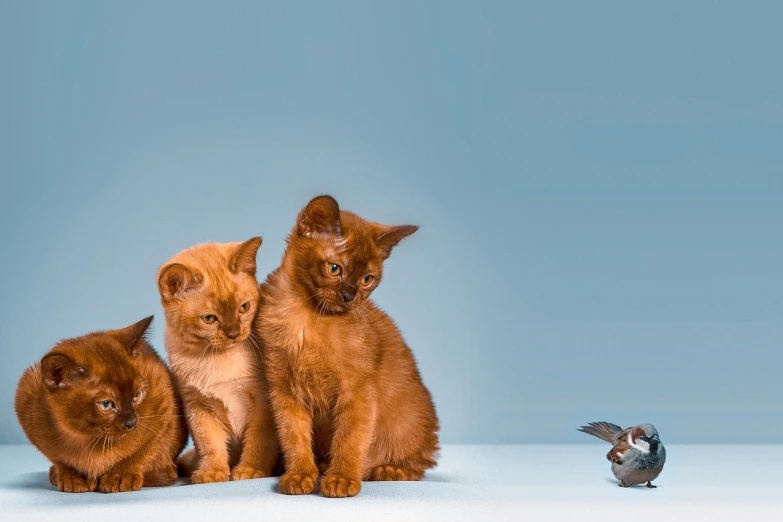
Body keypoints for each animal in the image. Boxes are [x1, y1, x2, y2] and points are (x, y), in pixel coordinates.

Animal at [14, 314, 188, 490]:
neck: (87, 440)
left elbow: (140, 453)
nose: (131, 423)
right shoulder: (26, 404)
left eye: (136, 396)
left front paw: (120, 476)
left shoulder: (163, 410)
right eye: (106, 404)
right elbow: (59, 460)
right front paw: (72, 478)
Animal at [158, 238, 280, 482]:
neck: (217, 360)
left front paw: (250, 470)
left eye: (244, 307)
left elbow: (258, 439)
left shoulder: (262, 402)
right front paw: (212, 472)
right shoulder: (197, 406)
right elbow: (210, 444)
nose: (234, 334)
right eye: (209, 318)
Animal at [258, 194, 438, 496]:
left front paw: (341, 479)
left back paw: (385, 470)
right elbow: (294, 438)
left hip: (410, 418)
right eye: (334, 269)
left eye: (367, 279)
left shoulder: (357, 393)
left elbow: (349, 440)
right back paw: (319, 467)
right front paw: (300, 476)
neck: (308, 320)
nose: (349, 296)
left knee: (419, 462)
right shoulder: (284, 392)